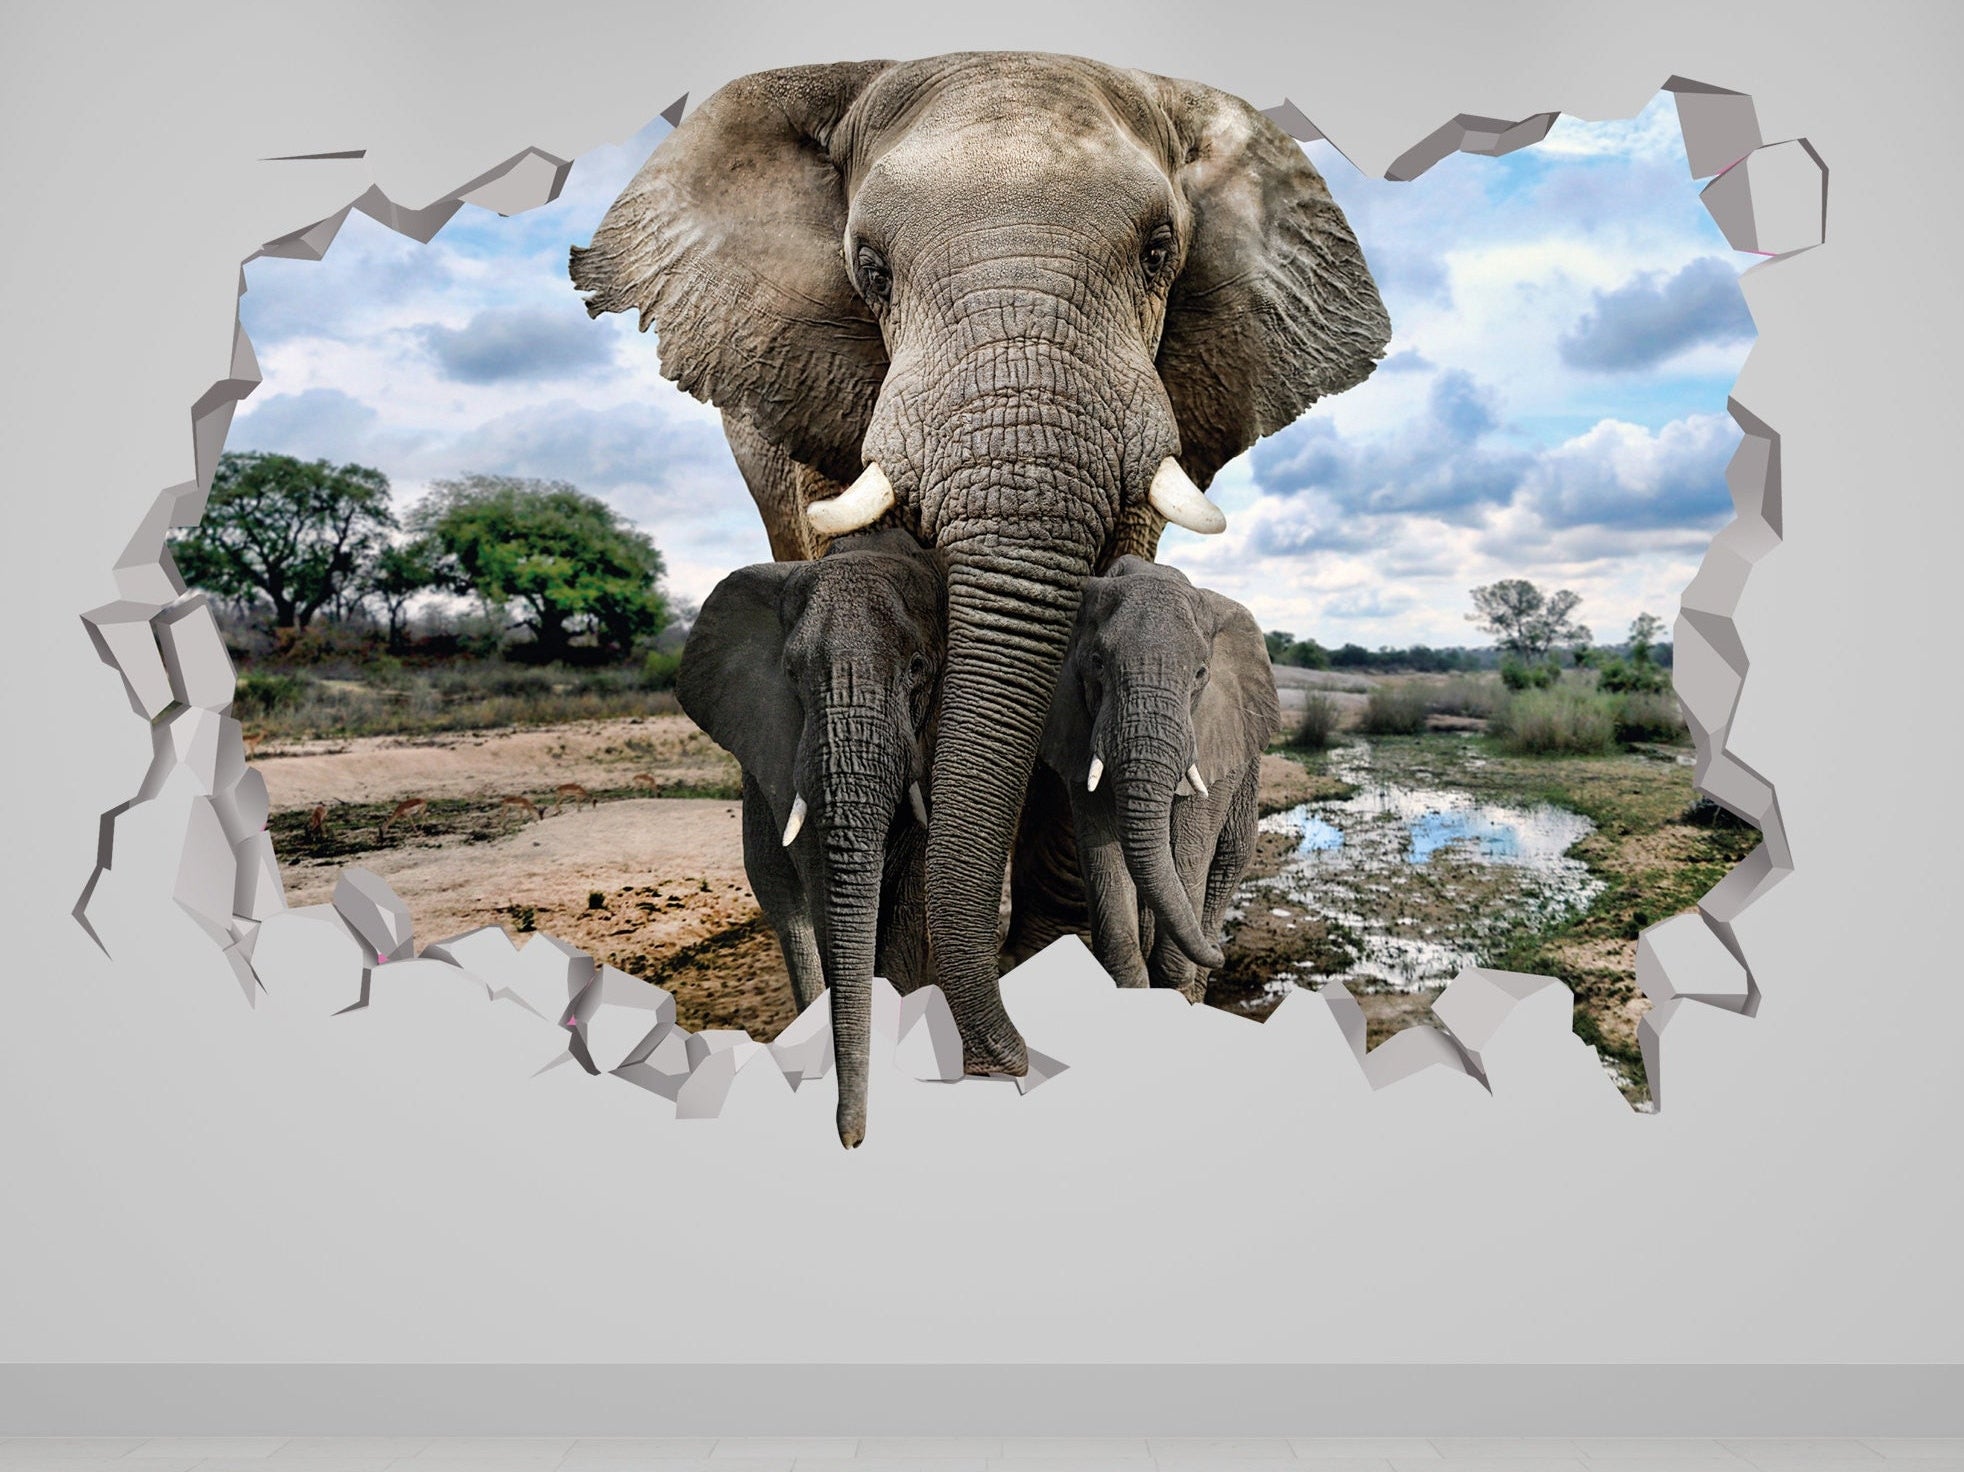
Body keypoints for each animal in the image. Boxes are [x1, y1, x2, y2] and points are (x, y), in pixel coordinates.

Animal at [676, 529, 944, 1148]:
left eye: (918, 666)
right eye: (792, 674)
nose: (851, 1142)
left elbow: (908, 883)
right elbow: (820, 880)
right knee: (784, 902)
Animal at [1039, 557, 1280, 1000]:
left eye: (1200, 673)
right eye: (1097, 662)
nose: (1221, 954)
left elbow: (1189, 847)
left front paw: (1175, 987)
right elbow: (1102, 849)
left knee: (1230, 856)